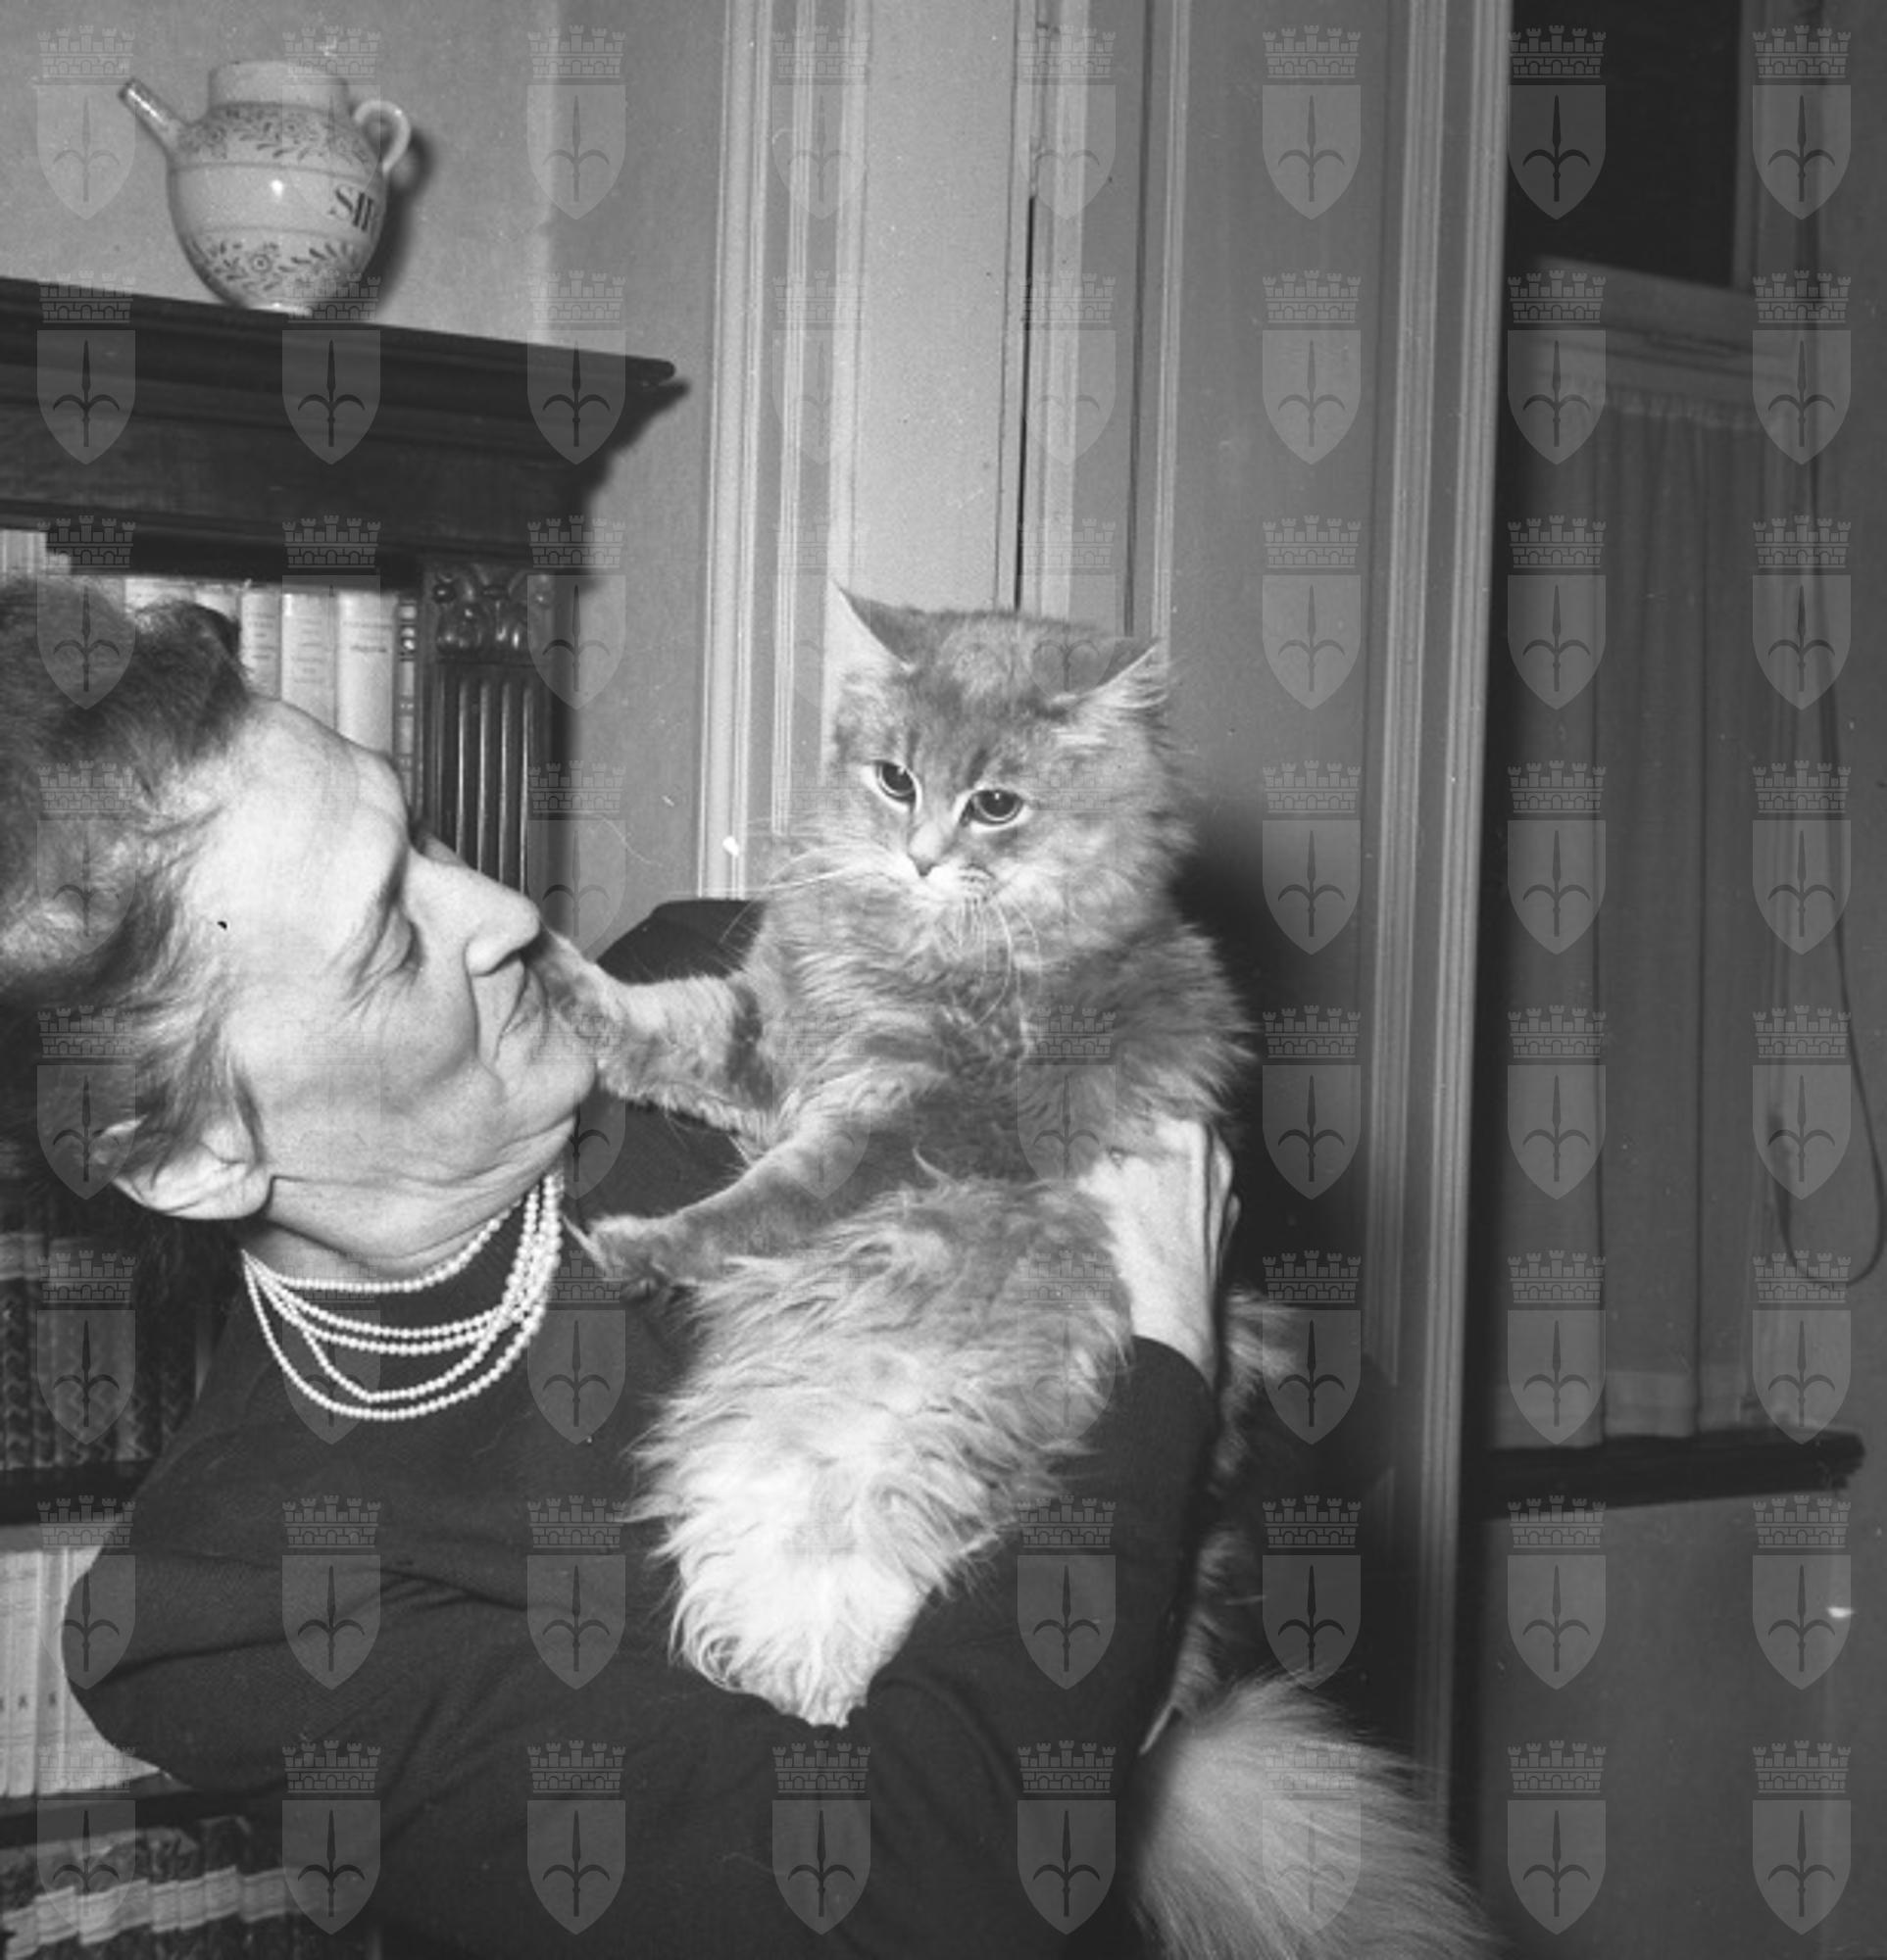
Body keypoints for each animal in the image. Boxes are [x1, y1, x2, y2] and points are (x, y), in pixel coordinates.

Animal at [548, 596, 1494, 1956]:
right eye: (894, 779)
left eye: (994, 804)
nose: (920, 855)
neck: (913, 943)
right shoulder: (768, 1037)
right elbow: (647, 1020)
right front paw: (535, 967)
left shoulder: (906, 1121)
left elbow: (759, 1201)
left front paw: (637, 1242)